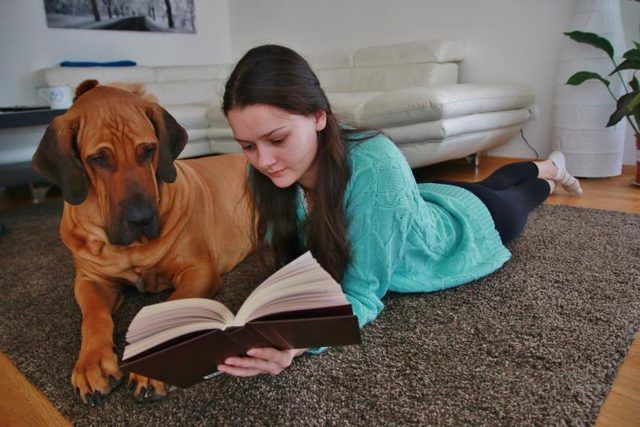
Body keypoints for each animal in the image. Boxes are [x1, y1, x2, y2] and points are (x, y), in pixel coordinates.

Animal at [30, 82, 255, 406]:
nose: (141, 218)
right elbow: (93, 317)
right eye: (98, 158)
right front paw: (92, 363)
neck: (129, 249)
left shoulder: (197, 271)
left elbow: (173, 304)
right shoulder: (90, 281)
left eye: (148, 150)